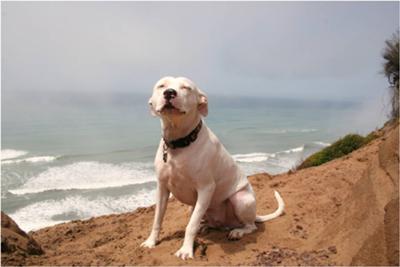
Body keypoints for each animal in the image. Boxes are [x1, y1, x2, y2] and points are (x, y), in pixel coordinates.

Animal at [141, 76, 284, 260]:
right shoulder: (162, 188)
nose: (169, 93)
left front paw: (186, 250)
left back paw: (237, 231)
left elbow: (191, 225)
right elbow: (157, 219)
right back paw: (207, 226)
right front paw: (151, 241)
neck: (180, 143)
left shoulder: (205, 188)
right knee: (208, 221)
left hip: (240, 199)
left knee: (250, 226)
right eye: (161, 85)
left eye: (186, 87)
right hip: (201, 208)